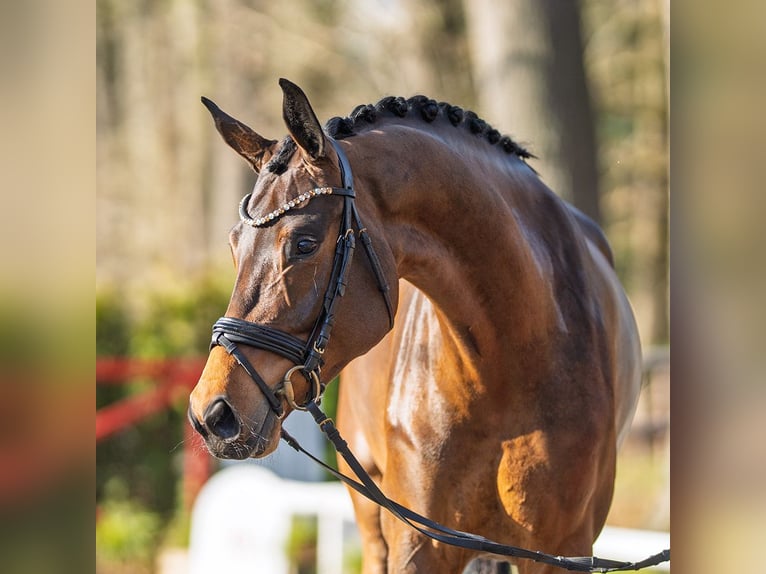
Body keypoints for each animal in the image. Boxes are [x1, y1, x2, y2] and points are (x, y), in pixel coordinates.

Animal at [188, 78, 642, 574]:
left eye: (304, 243)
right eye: (234, 245)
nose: (212, 414)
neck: (512, 357)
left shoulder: (564, 551)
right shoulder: (418, 543)